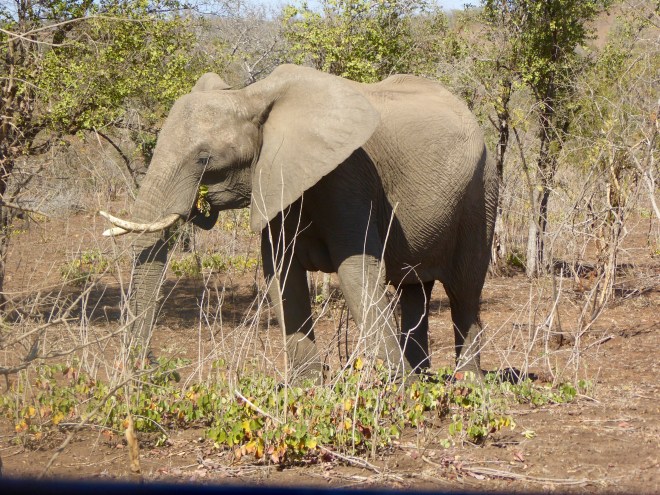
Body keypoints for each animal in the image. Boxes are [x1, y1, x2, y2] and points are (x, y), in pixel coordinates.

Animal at [100, 64, 498, 384]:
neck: (251, 98)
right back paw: (425, 376)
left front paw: (400, 391)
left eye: (204, 158)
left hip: (481, 191)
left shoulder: (347, 176)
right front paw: (306, 387)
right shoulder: (277, 181)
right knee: (414, 287)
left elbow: (356, 272)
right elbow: (281, 272)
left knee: (464, 288)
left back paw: (466, 382)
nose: (157, 371)